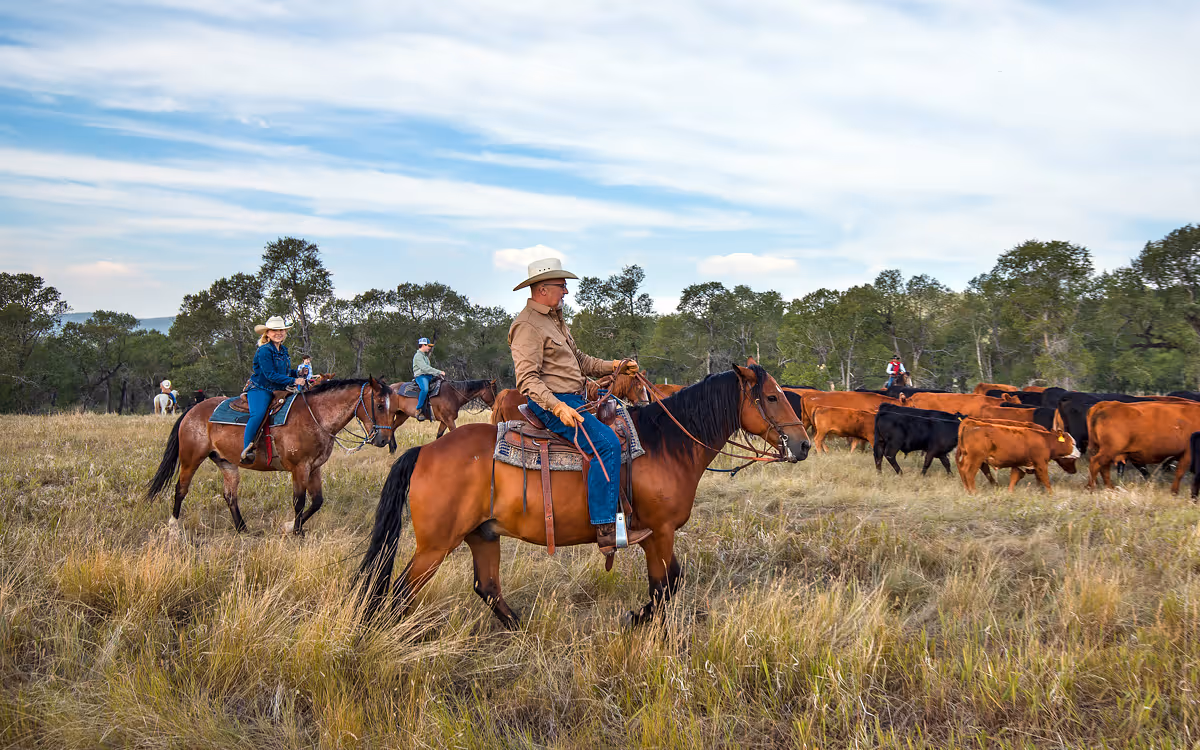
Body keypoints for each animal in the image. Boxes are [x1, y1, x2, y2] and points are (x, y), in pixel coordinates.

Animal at [147, 378, 395, 536]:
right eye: (379, 405)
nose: (384, 439)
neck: (316, 416)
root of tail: (191, 411)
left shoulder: (314, 468)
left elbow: (317, 501)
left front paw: (290, 527)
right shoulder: (299, 468)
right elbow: (299, 501)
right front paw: (296, 532)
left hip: (227, 463)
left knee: (230, 495)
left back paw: (242, 529)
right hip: (191, 459)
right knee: (180, 489)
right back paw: (173, 527)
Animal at [355, 362, 811, 629]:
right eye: (772, 397)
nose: (803, 444)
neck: (665, 444)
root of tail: (424, 452)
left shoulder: (657, 536)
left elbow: (668, 585)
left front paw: (637, 617)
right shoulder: (659, 533)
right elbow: (664, 586)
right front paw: (637, 619)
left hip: (483, 534)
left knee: (487, 586)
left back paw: (522, 629)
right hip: (435, 546)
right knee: (400, 594)